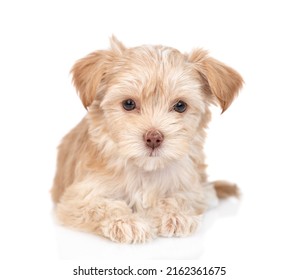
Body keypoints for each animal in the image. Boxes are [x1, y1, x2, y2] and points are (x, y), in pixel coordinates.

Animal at [51, 36, 242, 243]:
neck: (145, 170)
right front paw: (127, 222)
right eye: (128, 103)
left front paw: (174, 215)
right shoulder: (77, 198)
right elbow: (103, 207)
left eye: (180, 106)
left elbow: (180, 198)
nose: (154, 138)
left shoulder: (188, 187)